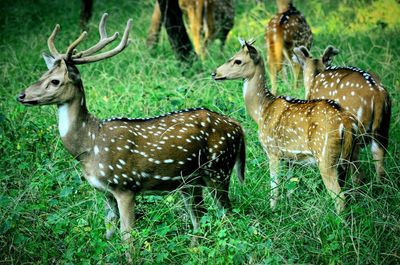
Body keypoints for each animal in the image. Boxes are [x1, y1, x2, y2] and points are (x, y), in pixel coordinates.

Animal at [15, 13, 245, 253]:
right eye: (42, 74)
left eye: (55, 81)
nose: (21, 95)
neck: (89, 145)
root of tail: (238, 127)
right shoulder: (105, 192)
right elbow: (108, 233)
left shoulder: (125, 186)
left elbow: (128, 239)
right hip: (190, 182)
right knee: (199, 218)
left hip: (219, 169)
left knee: (227, 213)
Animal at [212, 39, 360, 212]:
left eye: (238, 61)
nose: (214, 73)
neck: (261, 111)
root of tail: (346, 123)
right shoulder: (291, 159)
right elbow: (290, 187)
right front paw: (289, 208)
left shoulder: (272, 150)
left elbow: (274, 187)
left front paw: (272, 210)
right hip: (353, 154)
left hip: (325, 156)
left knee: (340, 198)